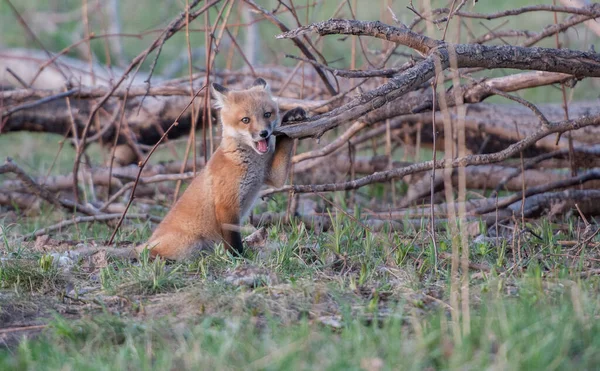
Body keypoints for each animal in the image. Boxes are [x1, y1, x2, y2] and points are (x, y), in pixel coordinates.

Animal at [135, 77, 304, 260]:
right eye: (246, 120)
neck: (249, 162)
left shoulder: (273, 176)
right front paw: (237, 258)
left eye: (267, 114)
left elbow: (285, 142)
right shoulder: (226, 204)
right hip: (188, 245)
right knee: (151, 254)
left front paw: (292, 117)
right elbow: (233, 240)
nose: (264, 133)